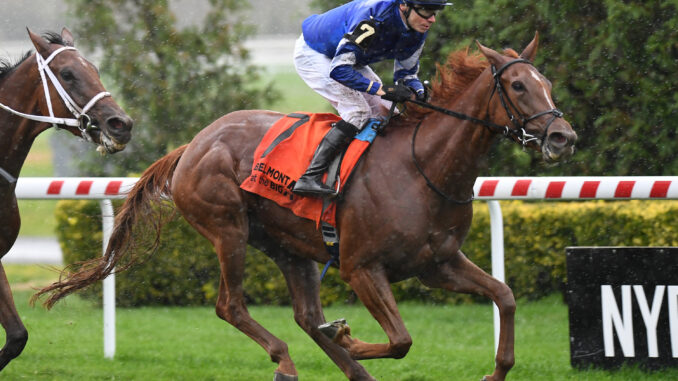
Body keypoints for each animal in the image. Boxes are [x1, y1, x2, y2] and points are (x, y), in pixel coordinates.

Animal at [37, 34, 576, 378]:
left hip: (290, 246)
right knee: (232, 305)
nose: (562, 136)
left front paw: (496, 371)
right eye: (518, 86)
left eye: (547, 82)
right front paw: (347, 335)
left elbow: (505, 295)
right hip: (228, 230)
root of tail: (192, 145)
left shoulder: (436, 263)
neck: (425, 166)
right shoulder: (362, 267)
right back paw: (288, 360)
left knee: (303, 315)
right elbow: (400, 340)